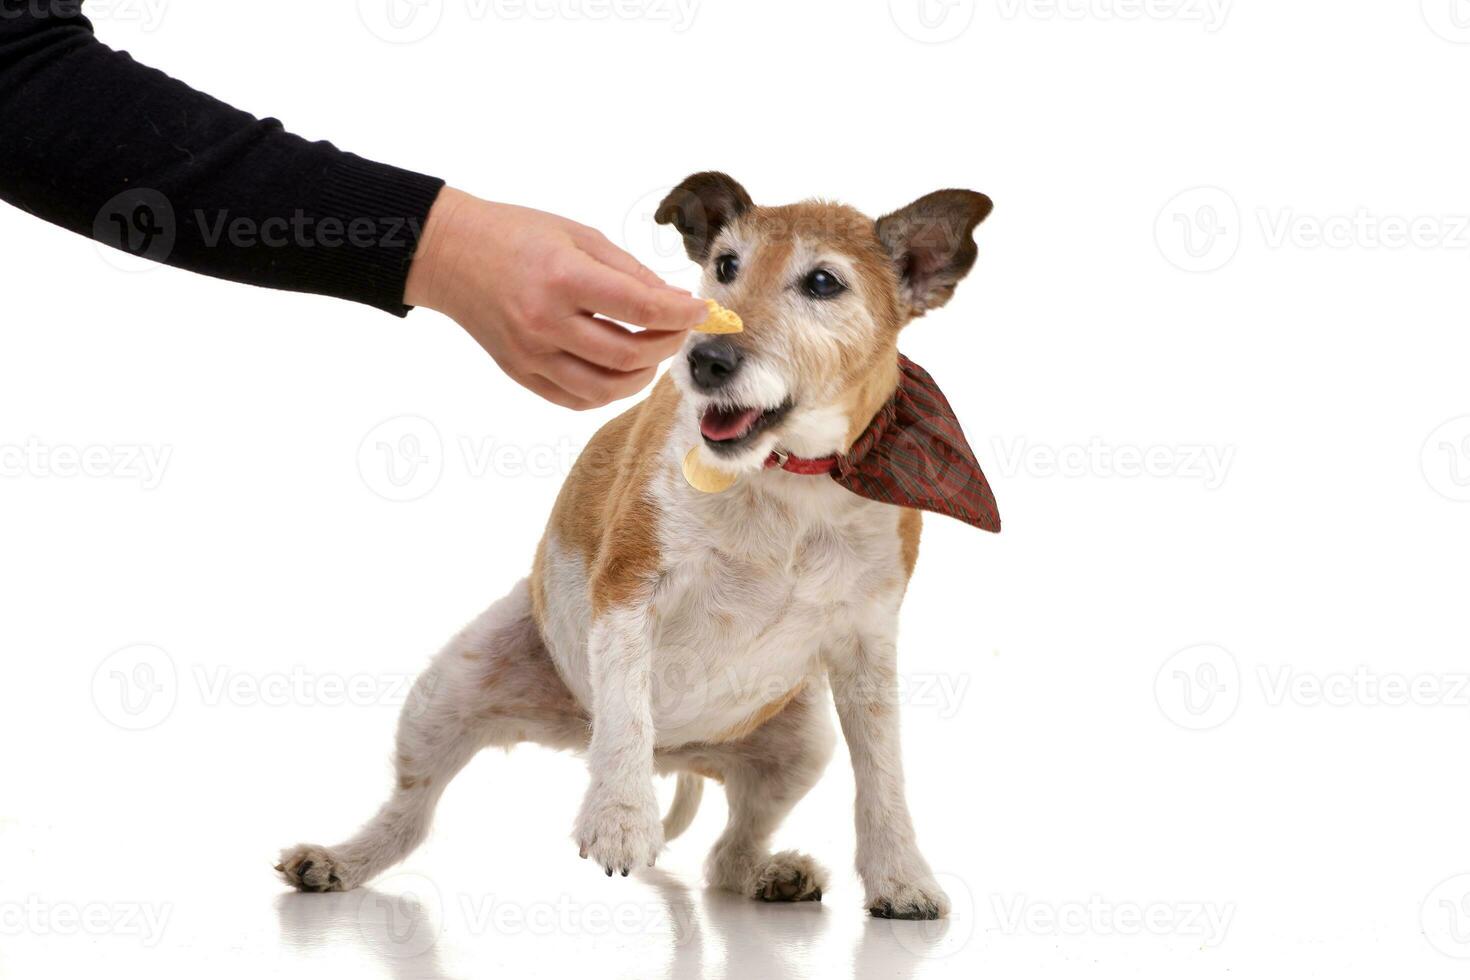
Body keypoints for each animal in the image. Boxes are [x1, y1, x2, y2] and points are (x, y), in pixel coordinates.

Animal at [276, 170, 993, 922]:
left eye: (823, 282)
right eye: (724, 266)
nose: (706, 358)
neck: (784, 480)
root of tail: (675, 755)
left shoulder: (867, 646)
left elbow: (883, 773)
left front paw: (900, 876)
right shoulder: (628, 589)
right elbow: (624, 708)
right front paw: (619, 818)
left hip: (801, 744)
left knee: (728, 853)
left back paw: (773, 875)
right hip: (444, 693)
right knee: (409, 816)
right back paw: (339, 862)